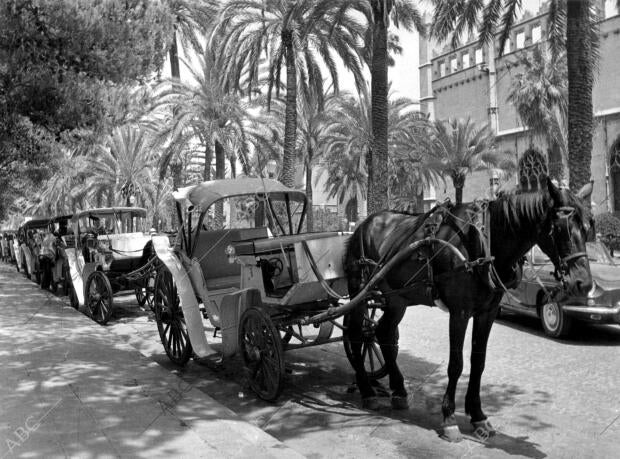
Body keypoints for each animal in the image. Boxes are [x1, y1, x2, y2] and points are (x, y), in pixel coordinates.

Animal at [344, 179, 592, 442]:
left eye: (589, 227)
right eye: (560, 229)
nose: (583, 283)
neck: (484, 241)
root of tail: (364, 224)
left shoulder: (487, 312)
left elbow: (478, 362)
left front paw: (478, 416)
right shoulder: (460, 312)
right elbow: (456, 364)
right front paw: (449, 417)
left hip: (397, 299)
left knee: (384, 333)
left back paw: (399, 389)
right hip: (360, 292)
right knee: (357, 335)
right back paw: (367, 390)